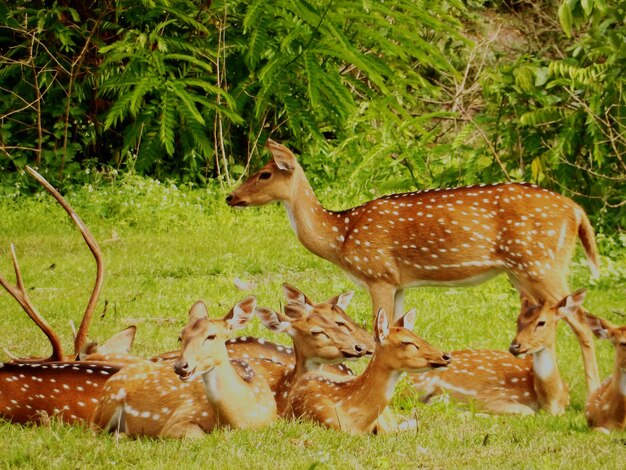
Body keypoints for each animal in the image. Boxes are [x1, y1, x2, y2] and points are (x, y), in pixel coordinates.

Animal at [225, 139, 600, 392]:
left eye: (264, 173)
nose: (231, 196)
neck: (341, 237)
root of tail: (577, 211)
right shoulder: (400, 282)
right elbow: (395, 327)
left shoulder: (378, 274)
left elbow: (378, 331)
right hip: (523, 271)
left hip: (542, 264)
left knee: (581, 321)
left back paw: (592, 390)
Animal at [412, 290, 584, 414]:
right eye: (518, 320)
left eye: (542, 322)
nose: (515, 346)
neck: (552, 401)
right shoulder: (491, 397)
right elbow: (526, 411)